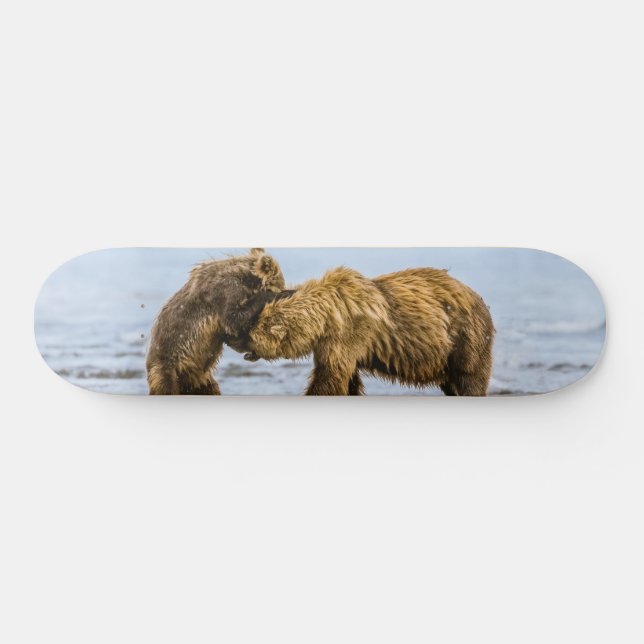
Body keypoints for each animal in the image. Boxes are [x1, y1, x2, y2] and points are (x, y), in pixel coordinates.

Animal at [146, 248, 286, 395]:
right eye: (282, 284)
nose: (283, 288)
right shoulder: (226, 290)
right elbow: (233, 320)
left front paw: (251, 353)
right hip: (167, 367)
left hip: (199, 379)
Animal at [238, 266, 494, 396]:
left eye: (250, 329)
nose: (238, 342)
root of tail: (479, 298)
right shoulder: (332, 343)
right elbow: (347, 379)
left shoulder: (348, 334)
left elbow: (330, 377)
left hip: (464, 337)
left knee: (470, 377)